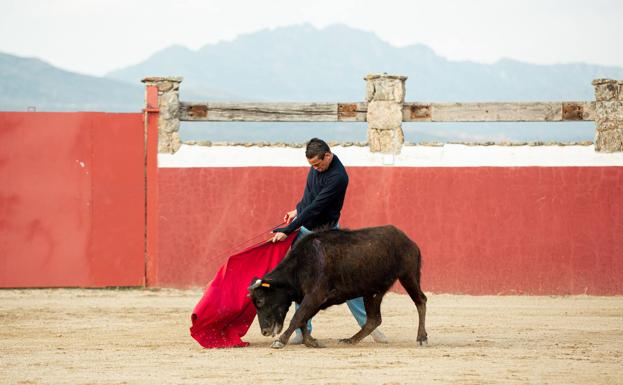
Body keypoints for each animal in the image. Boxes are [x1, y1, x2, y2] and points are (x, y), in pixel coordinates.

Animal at [249, 225, 428, 348]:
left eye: (260, 301)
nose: (264, 331)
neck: (300, 265)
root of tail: (408, 240)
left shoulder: (315, 295)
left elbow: (297, 317)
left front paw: (280, 341)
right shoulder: (313, 299)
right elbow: (303, 319)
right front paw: (311, 341)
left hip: (408, 276)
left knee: (420, 301)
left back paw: (422, 338)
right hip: (372, 291)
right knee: (374, 319)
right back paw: (351, 339)